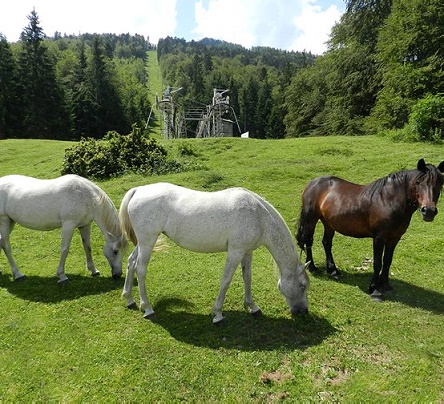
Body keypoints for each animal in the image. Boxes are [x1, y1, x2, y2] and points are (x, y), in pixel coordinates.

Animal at [119, 183, 310, 326]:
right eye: (302, 285)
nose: (304, 311)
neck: (258, 216)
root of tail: (138, 190)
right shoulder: (235, 251)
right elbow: (226, 280)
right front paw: (217, 314)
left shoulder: (247, 252)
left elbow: (247, 277)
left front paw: (252, 306)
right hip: (147, 241)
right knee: (140, 269)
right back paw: (147, 308)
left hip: (143, 243)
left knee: (131, 262)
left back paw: (129, 299)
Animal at [294, 159, 444, 298]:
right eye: (418, 183)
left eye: (439, 184)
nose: (428, 211)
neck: (389, 200)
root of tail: (312, 183)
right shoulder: (379, 238)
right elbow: (377, 263)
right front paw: (374, 290)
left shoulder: (394, 238)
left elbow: (387, 261)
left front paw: (385, 285)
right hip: (311, 219)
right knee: (309, 240)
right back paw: (312, 267)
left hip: (329, 223)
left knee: (326, 243)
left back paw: (333, 271)